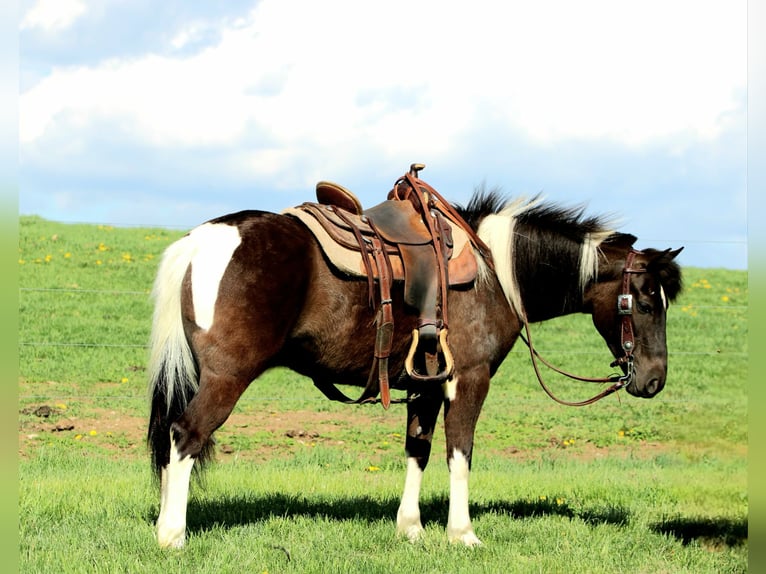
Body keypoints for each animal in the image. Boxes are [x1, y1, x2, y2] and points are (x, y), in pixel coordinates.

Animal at [146, 183, 683, 549]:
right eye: (646, 303)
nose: (654, 380)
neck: (494, 273)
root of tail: (199, 241)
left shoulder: (426, 385)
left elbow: (417, 451)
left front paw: (411, 528)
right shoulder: (468, 381)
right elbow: (459, 454)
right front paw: (462, 533)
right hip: (226, 378)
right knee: (186, 434)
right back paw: (172, 535)